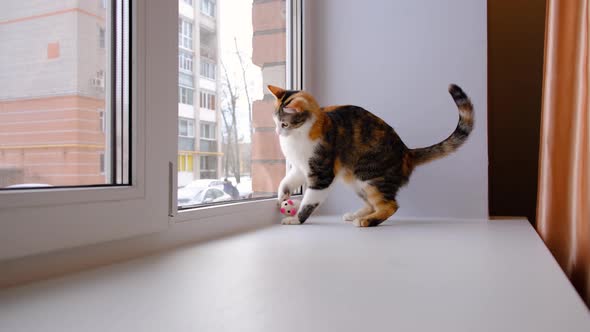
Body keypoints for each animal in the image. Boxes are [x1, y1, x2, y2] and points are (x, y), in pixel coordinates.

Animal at [270, 84, 476, 227]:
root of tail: (407, 152)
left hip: (370, 176)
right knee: (373, 204)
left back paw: (366, 221)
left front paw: (296, 219)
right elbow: (287, 180)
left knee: (389, 205)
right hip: (354, 179)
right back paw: (356, 215)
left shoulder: (322, 172)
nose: (277, 132)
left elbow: (310, 200)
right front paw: (282, 194)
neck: (298, 136)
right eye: (275, 122)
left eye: (284, 124)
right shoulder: (300, 167)